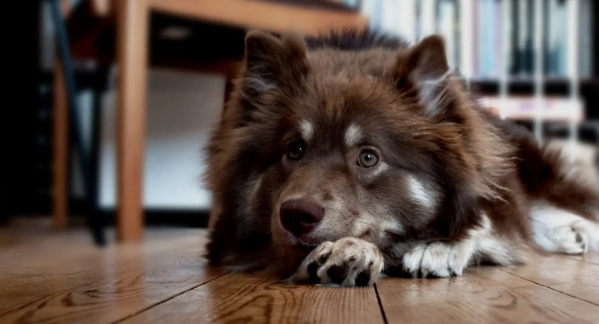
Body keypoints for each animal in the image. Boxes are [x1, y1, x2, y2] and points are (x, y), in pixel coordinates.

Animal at [203, 28, 599, 286]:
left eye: (368, 157)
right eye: (294, 149)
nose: (296, 215)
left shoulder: (497, 197)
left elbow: (483, 222)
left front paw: (439, 245)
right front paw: (351, 251)